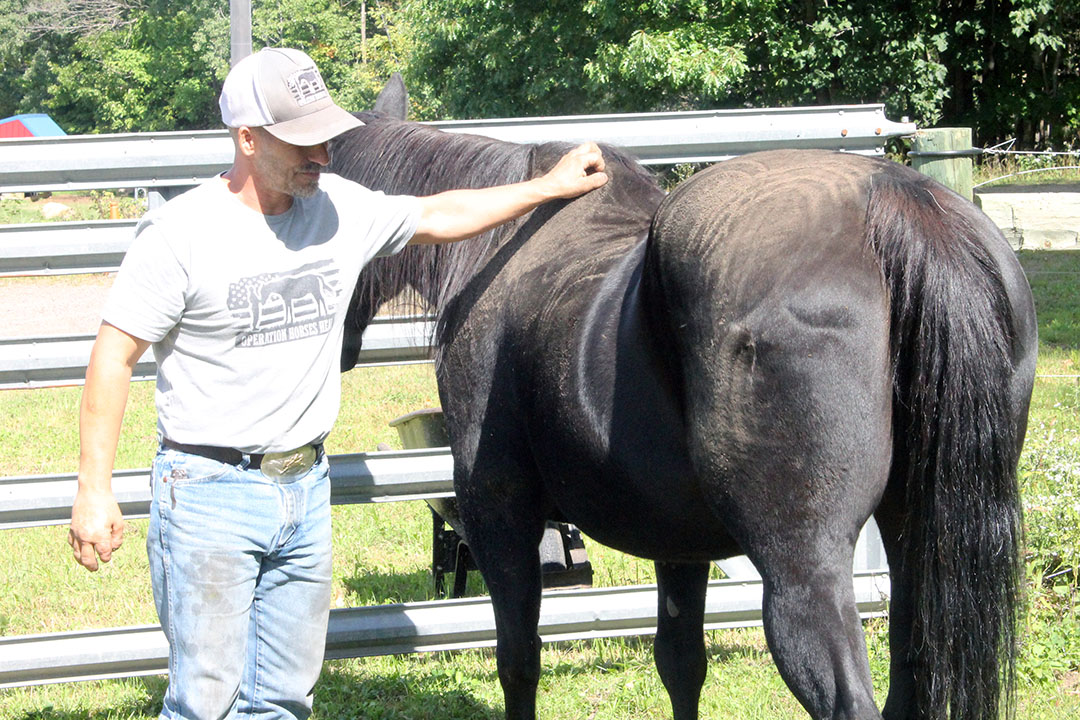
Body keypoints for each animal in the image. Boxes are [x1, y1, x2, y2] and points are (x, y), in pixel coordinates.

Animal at [329, 76, 1038, 720]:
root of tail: (893, 201)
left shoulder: (499, 513)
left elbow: (519, 662)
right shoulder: (678, 542)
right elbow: (680, 665)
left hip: (802, 573)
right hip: (917, 541)